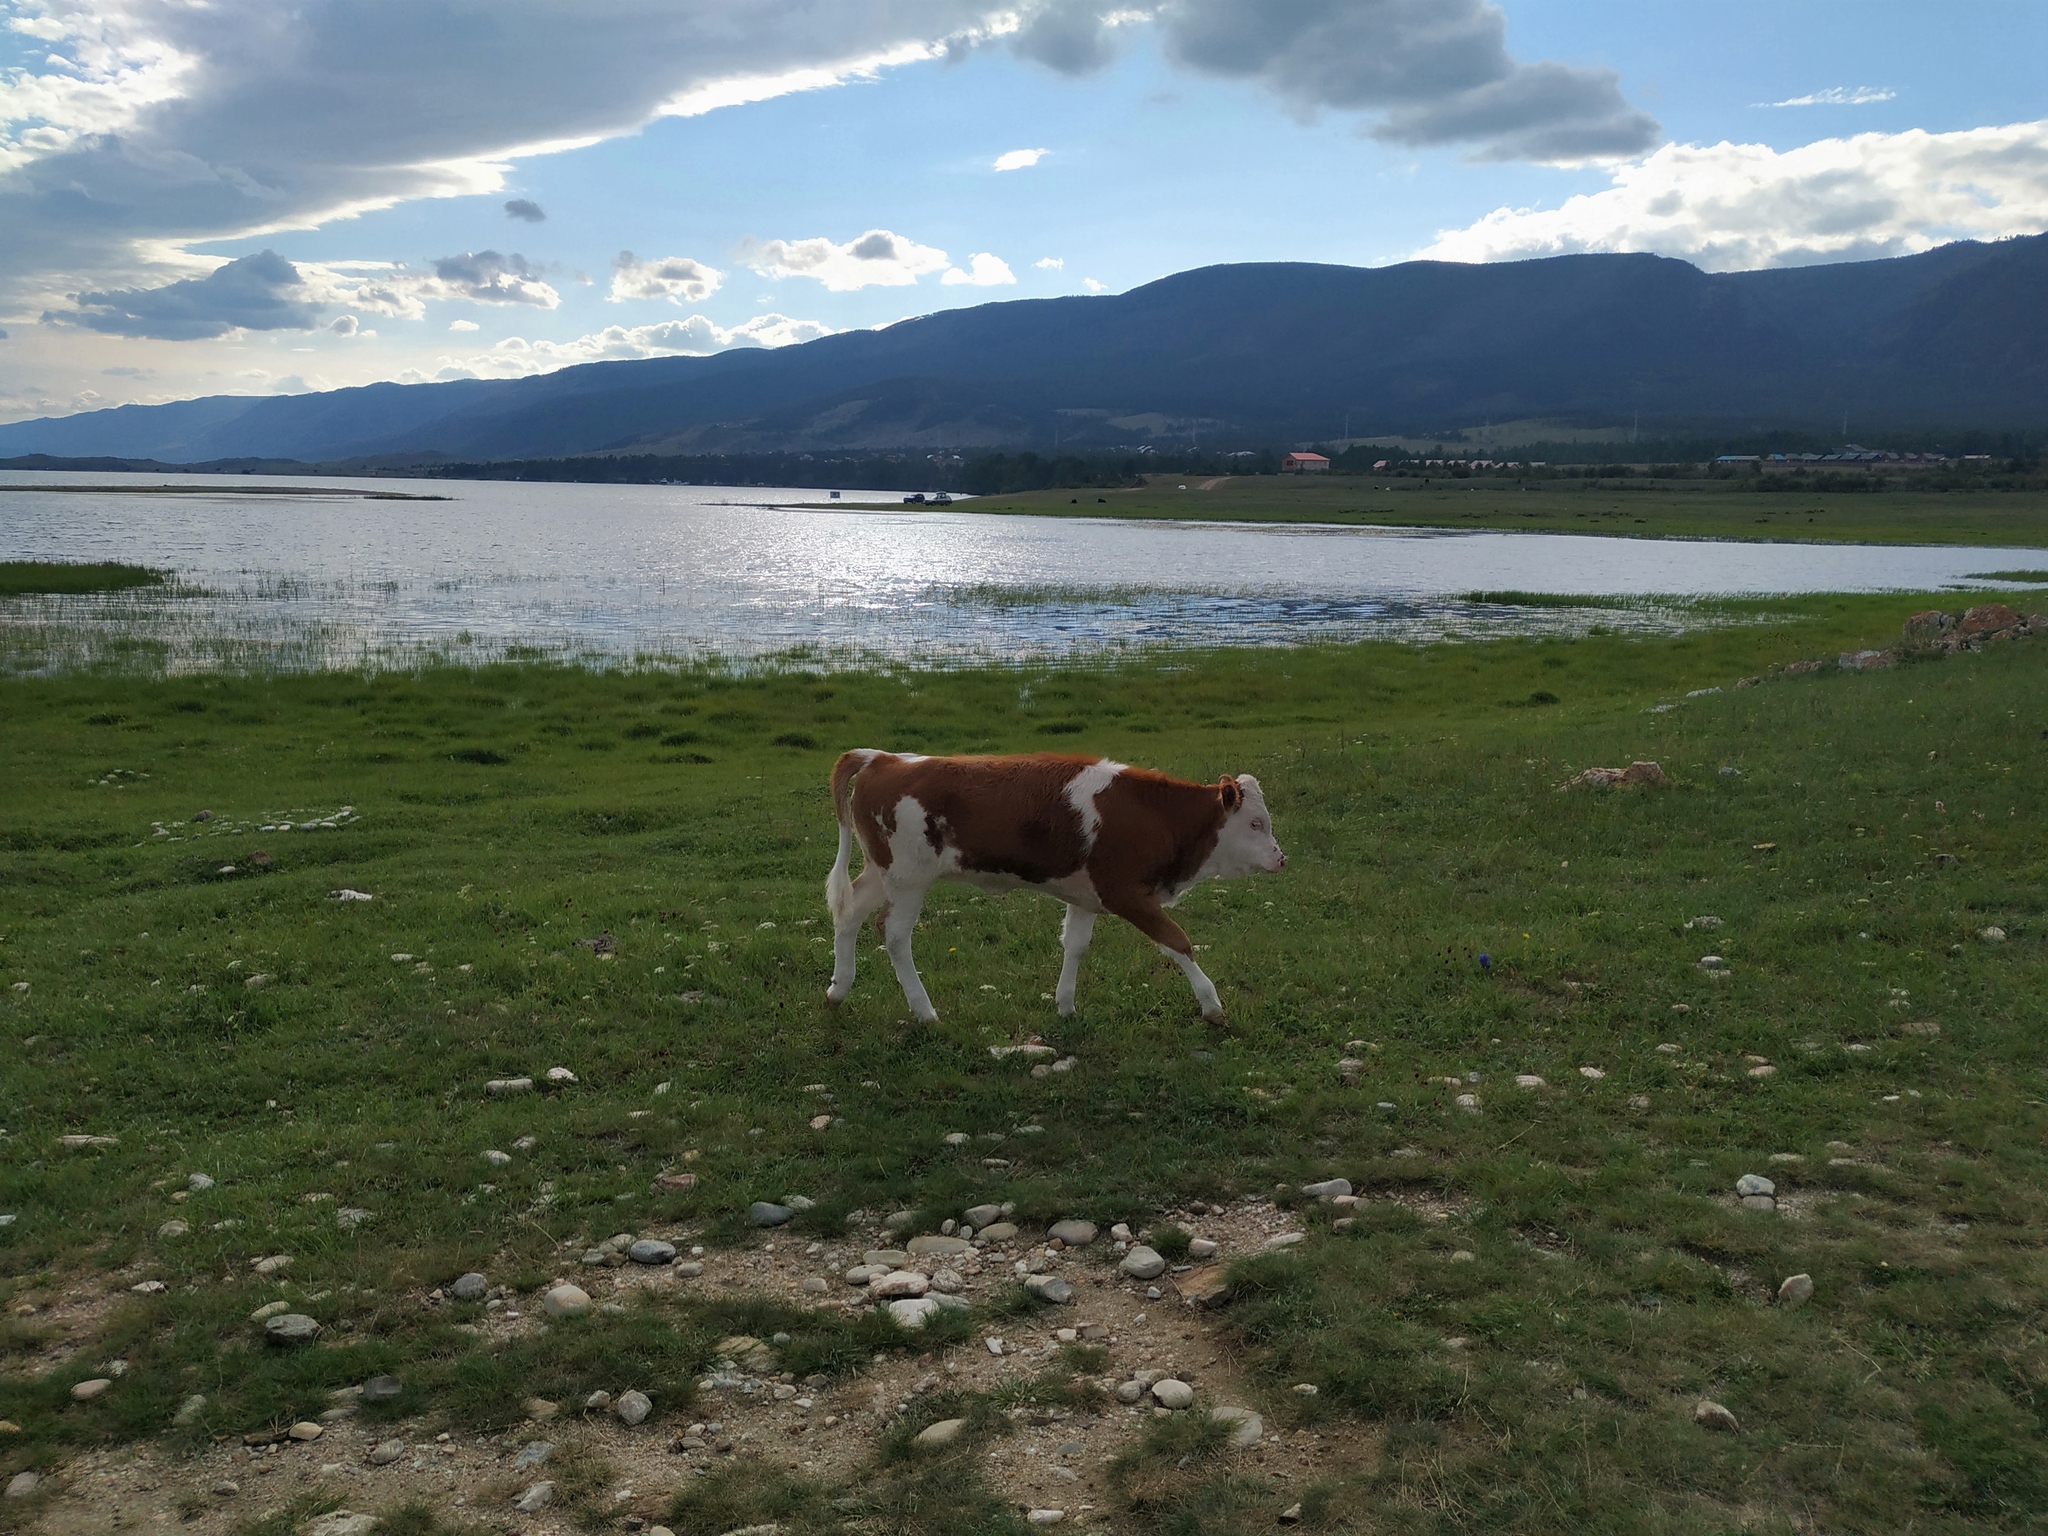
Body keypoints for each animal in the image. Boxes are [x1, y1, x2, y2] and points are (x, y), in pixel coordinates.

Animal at [823, 753, 1286, 1028]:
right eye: (1256, 823)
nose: (1281, 859)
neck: (1153, 814)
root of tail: (884, 758)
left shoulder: (1086, 898)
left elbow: (1075, 946)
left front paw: (1065, 1004)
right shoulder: (1126, 894)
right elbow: (1177, 942)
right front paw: (1211, 1005)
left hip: (882, 873)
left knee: (849, 915)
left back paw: (838, 990)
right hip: (908, 879)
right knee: (895, 936)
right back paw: (924, 1010)